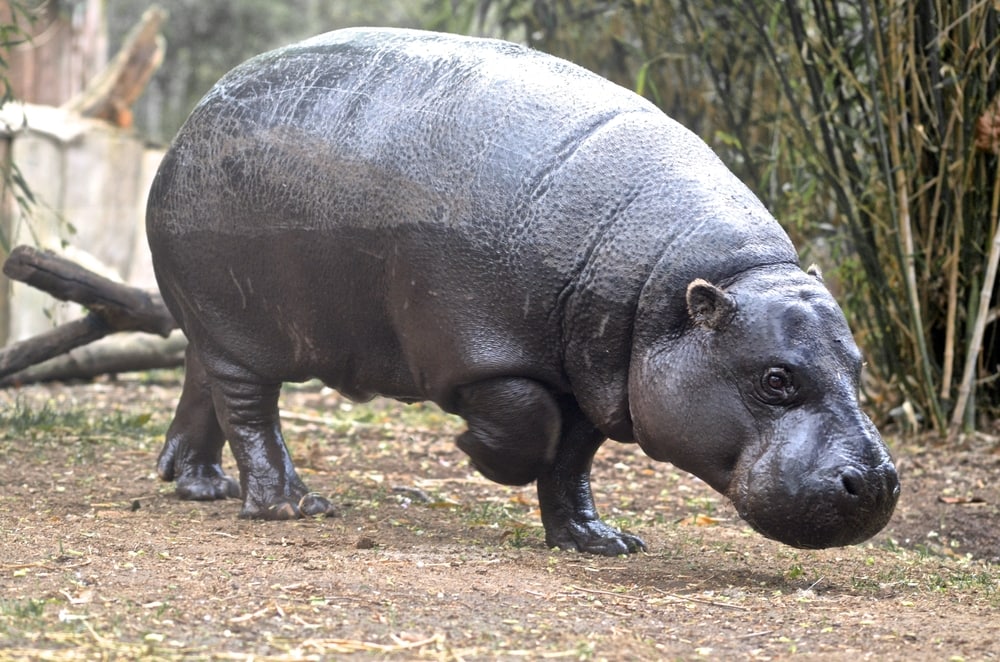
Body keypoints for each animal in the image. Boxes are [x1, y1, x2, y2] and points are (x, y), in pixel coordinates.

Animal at [146, 27, 899, 556]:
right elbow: (528, 425)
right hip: (242, 329)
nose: (878, 481)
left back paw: (199, 485)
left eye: (860, 365)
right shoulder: (482, 353)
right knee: (250, 408)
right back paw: (291, 504)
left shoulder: (593, 376)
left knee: (201, 384)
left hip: (213, 325)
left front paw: (602, 543)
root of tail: (187, 126)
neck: (672, 284)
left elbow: (571, 461)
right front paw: (471, 450)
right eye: (775, 378)